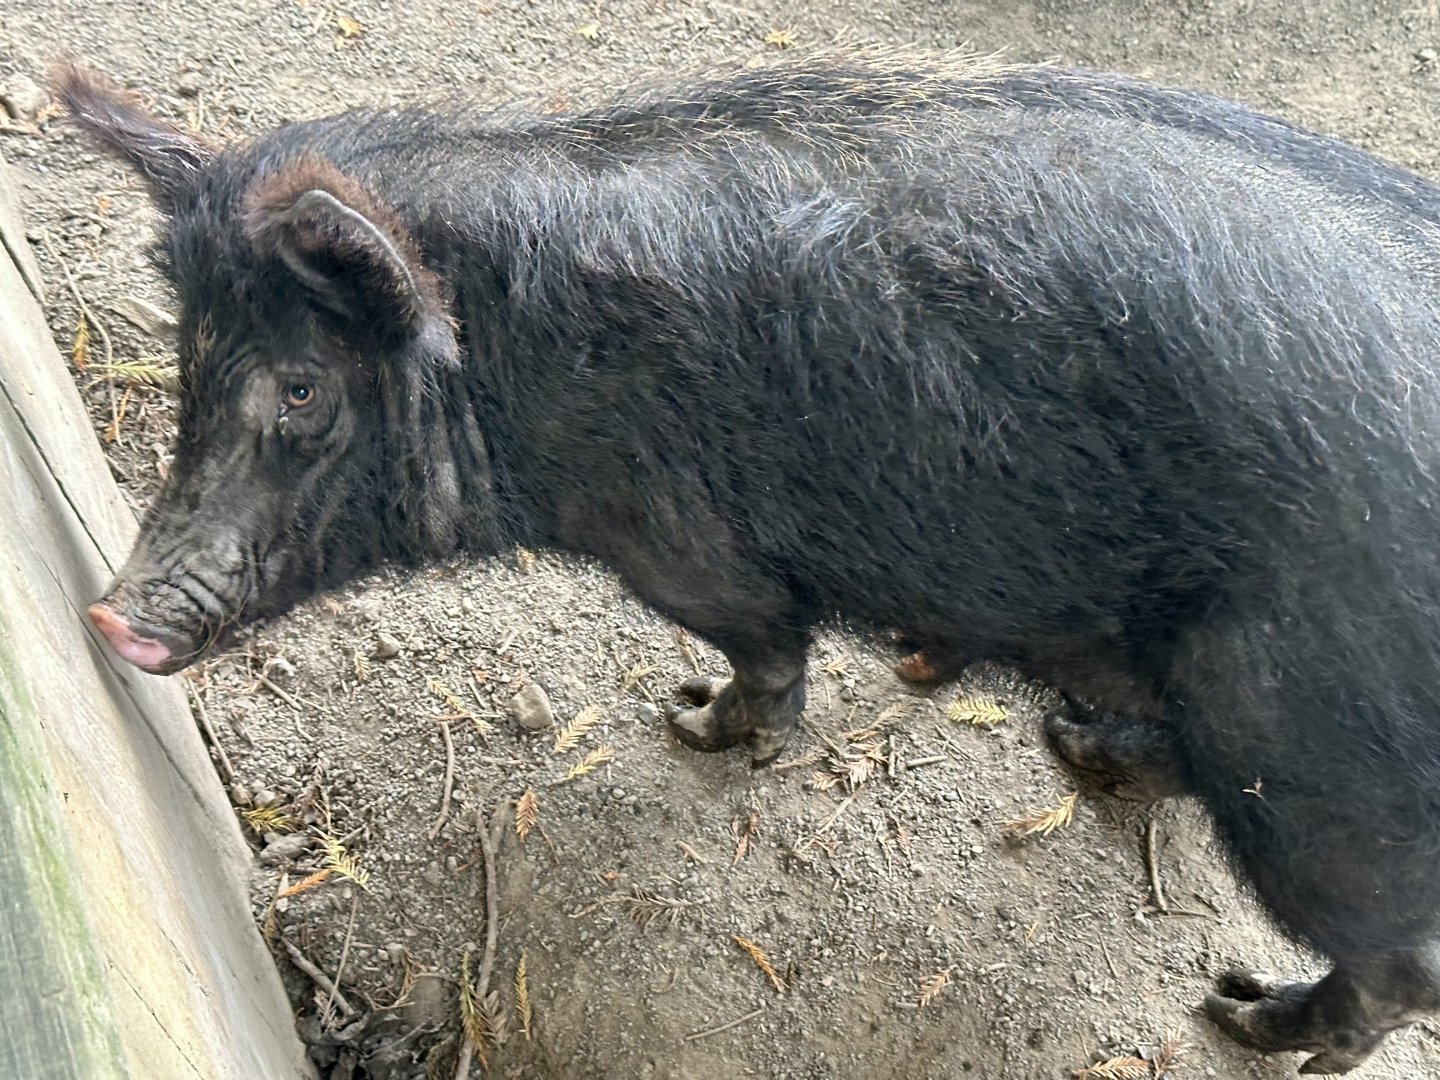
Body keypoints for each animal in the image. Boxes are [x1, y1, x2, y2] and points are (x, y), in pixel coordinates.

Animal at [59, 53, 1440, 1072]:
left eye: (299, 388)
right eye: (190, 366)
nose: (105, 616)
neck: (519, 357)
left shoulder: (676, 541)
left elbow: (762, 643)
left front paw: (690, 724)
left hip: (1306, 751)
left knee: (1400, 962)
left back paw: (1246, 1017)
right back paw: (1080, 751)